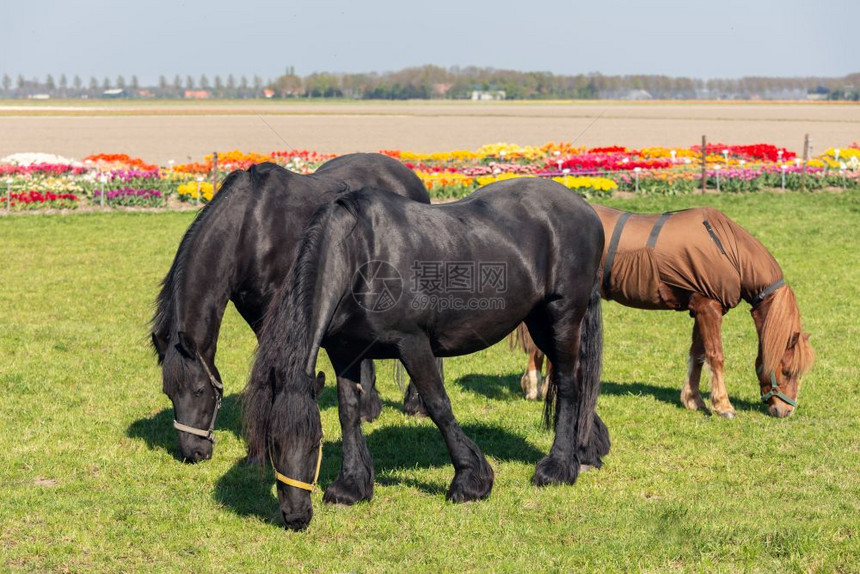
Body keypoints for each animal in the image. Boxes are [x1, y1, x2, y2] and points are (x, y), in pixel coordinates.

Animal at [151, 154, 430, 464]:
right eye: (168, 393)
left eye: (199, 390)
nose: (194, 453)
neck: (250, 226)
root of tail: (409, 175)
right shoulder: (252, 310)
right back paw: (369, 407)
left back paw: (416, 405)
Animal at [242, 179, 612, 532]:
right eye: (272, 442)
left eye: (314, 442)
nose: (295, 516)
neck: (359, 256)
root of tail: (585, 210)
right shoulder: (344, 352)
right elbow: (349, 412)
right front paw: (351, 486)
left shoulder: (412, 343)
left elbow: (438, 406)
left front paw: (471, 481)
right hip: (538, 321)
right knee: (577, 380)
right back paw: (585, 450)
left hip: (563, 316)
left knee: (568, 384)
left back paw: (558, 467)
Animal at [512, 206, 816, 418]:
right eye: (787, 370)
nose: (786, 411)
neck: (727, 250)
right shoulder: (709, 308)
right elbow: (716, 356)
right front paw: (723, 405)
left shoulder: (700, 306)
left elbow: (698, 355)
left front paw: (693, 399)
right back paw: (534, 385)